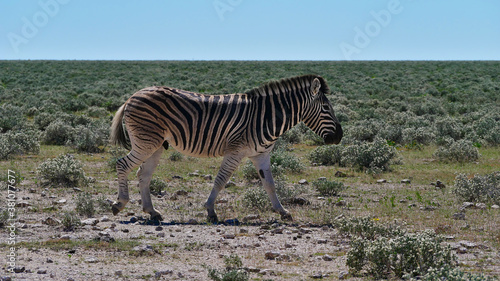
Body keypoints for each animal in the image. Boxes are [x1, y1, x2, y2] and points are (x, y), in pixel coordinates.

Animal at [111, 74, 342, 221]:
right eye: (325, 107)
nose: (339, 136)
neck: (266, 117)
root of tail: (133, 96)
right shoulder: (235, 151)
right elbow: (221, 180)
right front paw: (211, 211)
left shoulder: (261, 155)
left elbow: (270, 184)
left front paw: (282, 211)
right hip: (146, 141)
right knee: (122, 164)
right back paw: (120, 203)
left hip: (156, 145)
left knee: (143, 175)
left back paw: (152, 212)